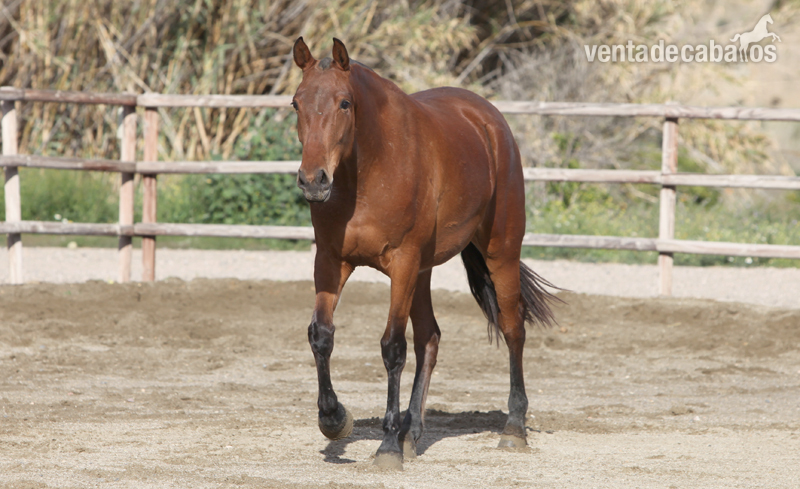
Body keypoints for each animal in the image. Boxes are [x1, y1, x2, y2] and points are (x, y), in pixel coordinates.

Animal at [290, 37, 560, 469]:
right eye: (296, 103)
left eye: (345, 103)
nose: (314, 180)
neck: (371, 170)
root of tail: (488, 119)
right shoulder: (331, 262)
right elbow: (322, 335)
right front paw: (334, 419)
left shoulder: (402, 264)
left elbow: (392, 348)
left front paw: (386, 446)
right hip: (423, 272)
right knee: (429, 337)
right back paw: (412, 431)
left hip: (500, 252)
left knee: (512, 327)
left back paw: (513, 428)